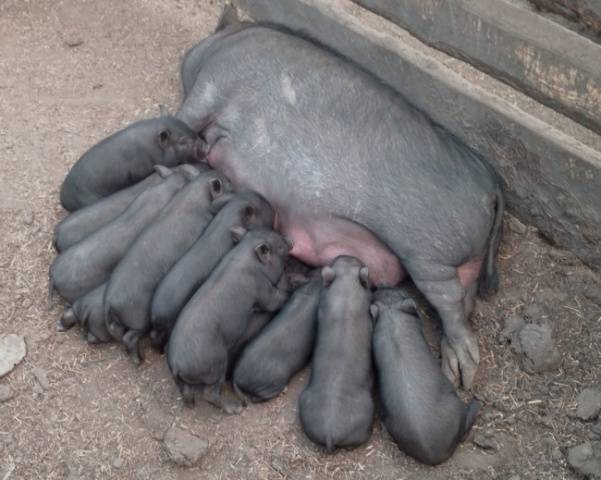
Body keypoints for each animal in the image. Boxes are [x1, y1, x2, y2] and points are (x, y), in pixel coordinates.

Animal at [176, 14, 504, 390]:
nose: (191, 50)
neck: (225, 43)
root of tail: (491, 184)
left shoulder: (211, 85)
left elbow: (184, 117)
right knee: (466, 301)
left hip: (427, 252)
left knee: (450, 302)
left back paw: (460, 375)